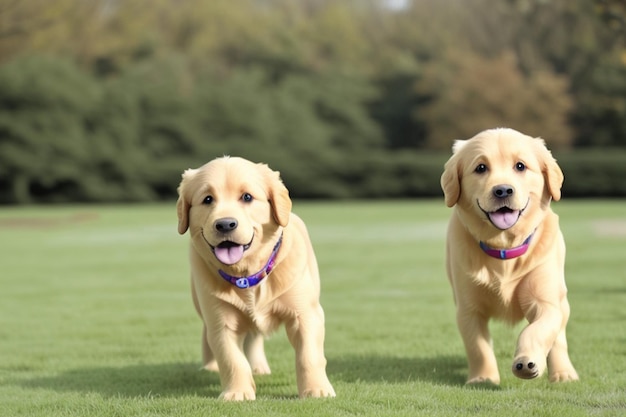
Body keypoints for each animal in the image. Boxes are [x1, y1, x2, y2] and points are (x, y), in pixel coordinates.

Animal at [176, 156, 334, 400]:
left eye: (247, 197)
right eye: (207, 199)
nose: (225, 224)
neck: (246, 276)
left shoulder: (306, 313)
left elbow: (309, 355)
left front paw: (317, 389)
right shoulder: (220, 319)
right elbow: (231, 359)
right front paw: (237, 393)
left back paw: (259, 367)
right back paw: (210, 367)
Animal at [438, 127, 576, 384]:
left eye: (520, 166)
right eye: (481, 167)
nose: (502, 190)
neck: (504, 250)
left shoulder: (546, 300)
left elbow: (537, 330)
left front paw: (527, 361)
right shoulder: (468, 307)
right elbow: (478, 346)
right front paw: (483, 377)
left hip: (562, 299)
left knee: (559, 336)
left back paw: (563, 372)